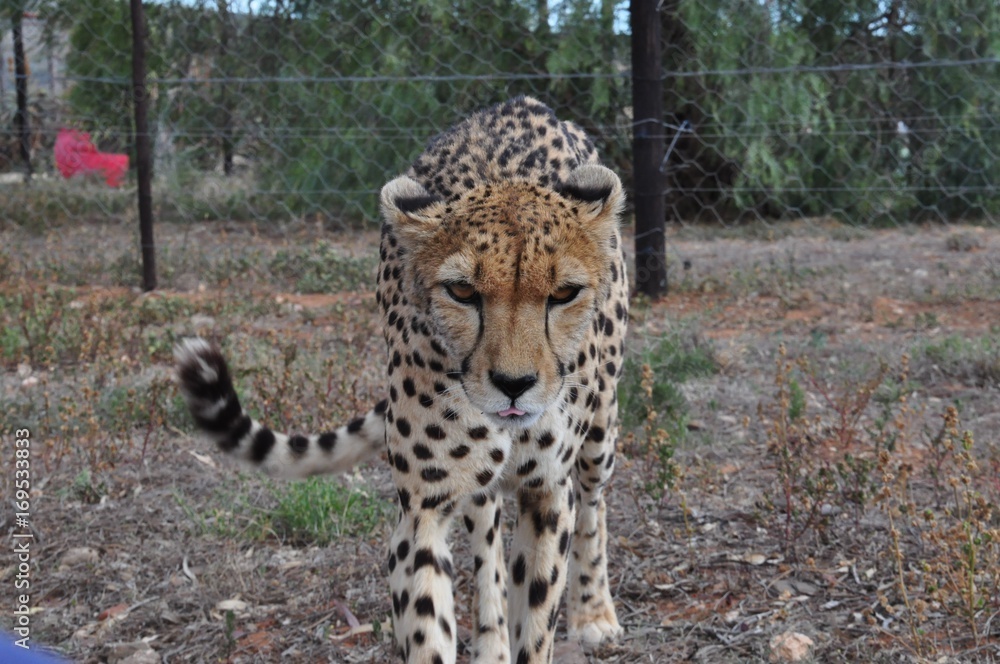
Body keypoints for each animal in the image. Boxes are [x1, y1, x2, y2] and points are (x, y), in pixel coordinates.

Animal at [175, 96, 629, 664]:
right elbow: (431, 621)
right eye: (462, 291)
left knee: (593, 503)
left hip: (599, 434)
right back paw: (492, 640)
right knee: (487, 540)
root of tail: (520, 101)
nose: (514, 384)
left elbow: (539, 617)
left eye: (564, 293)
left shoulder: (546, 489)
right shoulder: (423, 509)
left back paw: (594, 613)